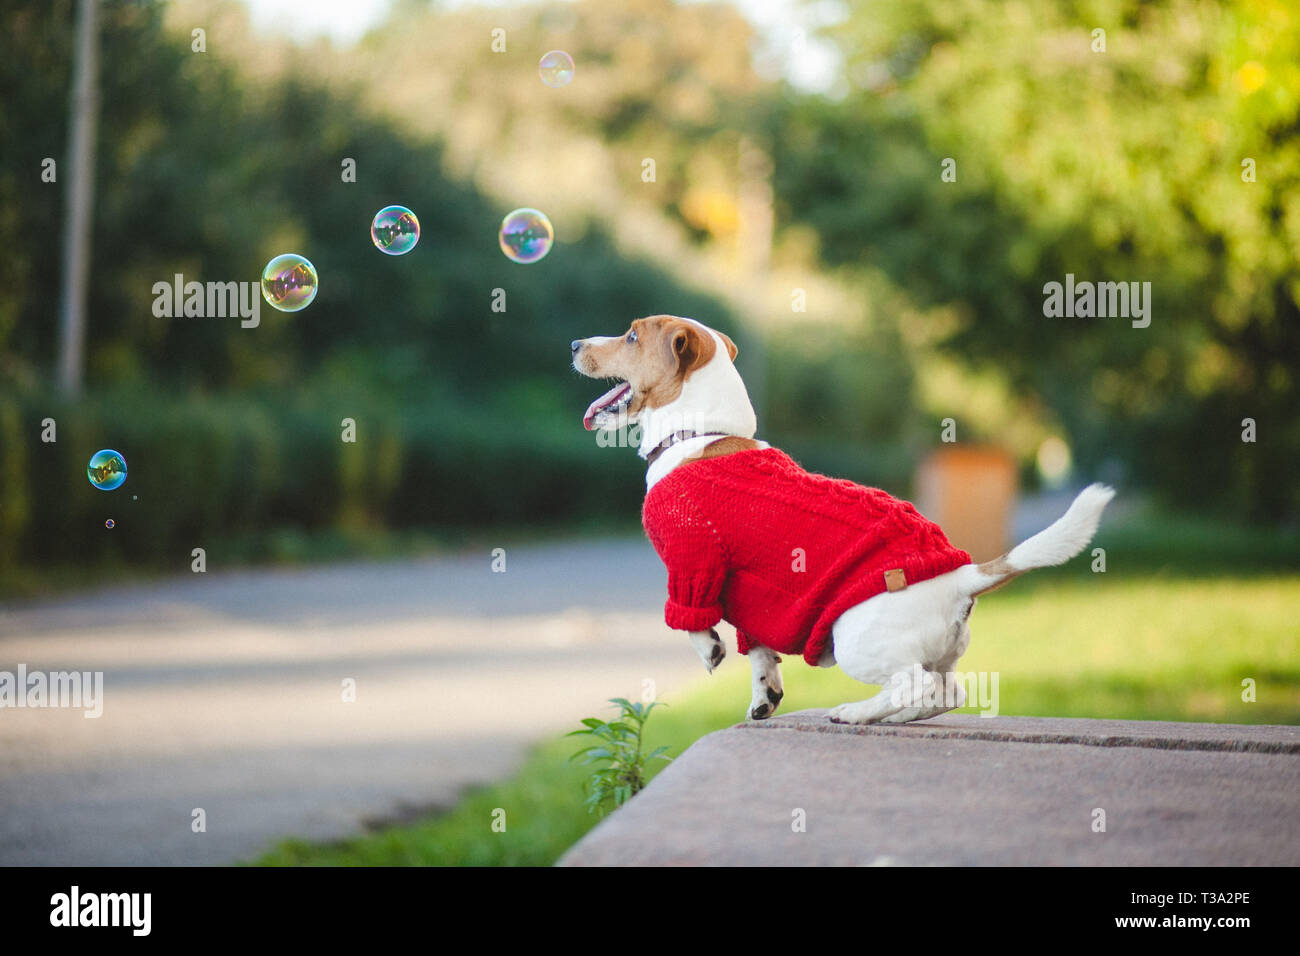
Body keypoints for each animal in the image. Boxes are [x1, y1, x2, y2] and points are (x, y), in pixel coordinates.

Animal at [574, 314, 1112, 723]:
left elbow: (692, 620)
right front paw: (763, 699)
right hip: (940, 657)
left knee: (913, 686)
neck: (702, 433)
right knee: (945, 693)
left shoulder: (694, 563)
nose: (576, 343)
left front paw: (709, 651)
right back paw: (884, 717)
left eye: (632, 336)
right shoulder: (750, 602)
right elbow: (761, 656)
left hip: (855, 640)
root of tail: (964, 577)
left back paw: (854, 713)